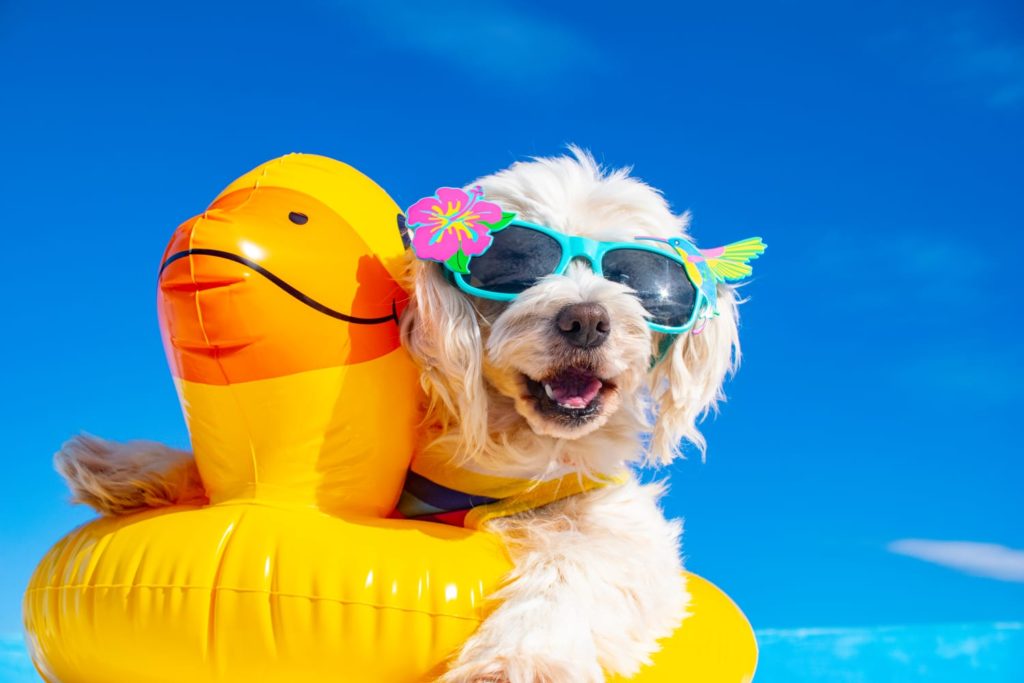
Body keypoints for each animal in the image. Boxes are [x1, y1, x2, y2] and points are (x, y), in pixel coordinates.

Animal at [56, 147, 753, 679]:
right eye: (513, 267)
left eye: (638, 282)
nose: (585, 318)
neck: (510, 448)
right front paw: (119, 464)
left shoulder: (614, 522)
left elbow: (582, 570)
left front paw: (516, 662)